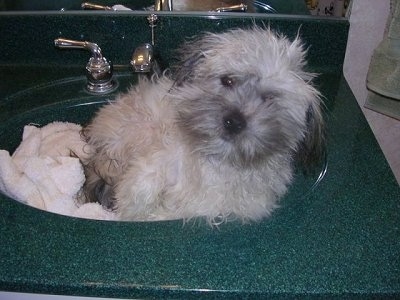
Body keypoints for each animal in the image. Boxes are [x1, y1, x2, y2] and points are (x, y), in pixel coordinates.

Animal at [82, 27, 324, 225]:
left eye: (269, 98)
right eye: (227, 80)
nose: (233, 121)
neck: (218, 162)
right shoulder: (152, 165)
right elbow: (138, 195)